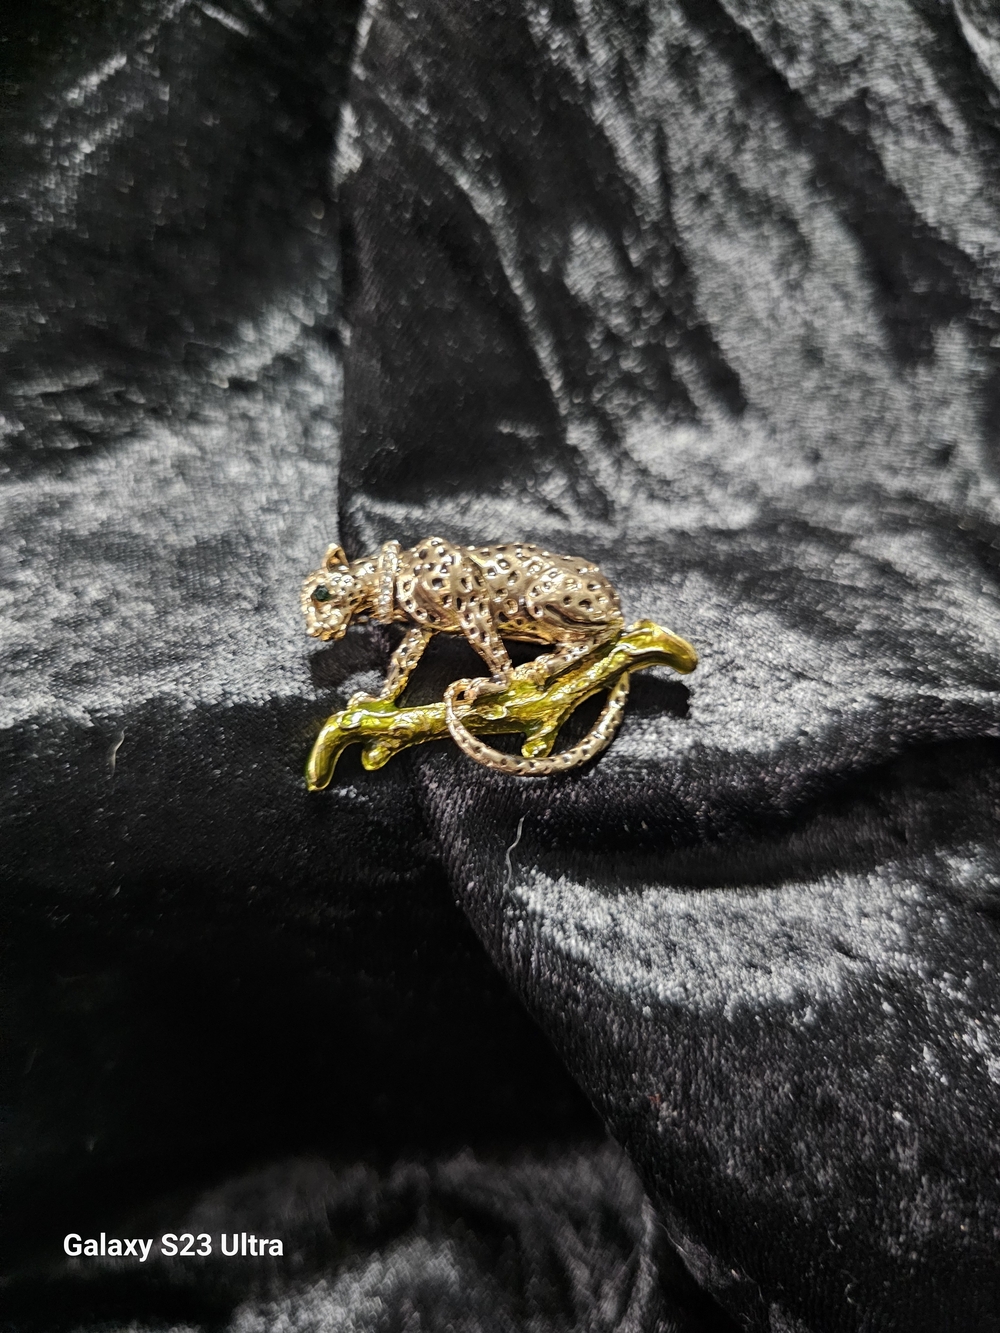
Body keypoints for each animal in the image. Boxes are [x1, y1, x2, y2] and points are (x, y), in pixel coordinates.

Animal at [301, 535, 630, 775]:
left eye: (321, 593)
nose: (314, 630)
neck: (391, 575)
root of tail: (613, 598)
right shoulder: (422, 628)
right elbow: (402, 662)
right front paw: (378, 702)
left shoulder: (472, 599)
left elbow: (490, 647)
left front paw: (494, 683)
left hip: (542, 597)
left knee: (606, 630)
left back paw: (543, 665)